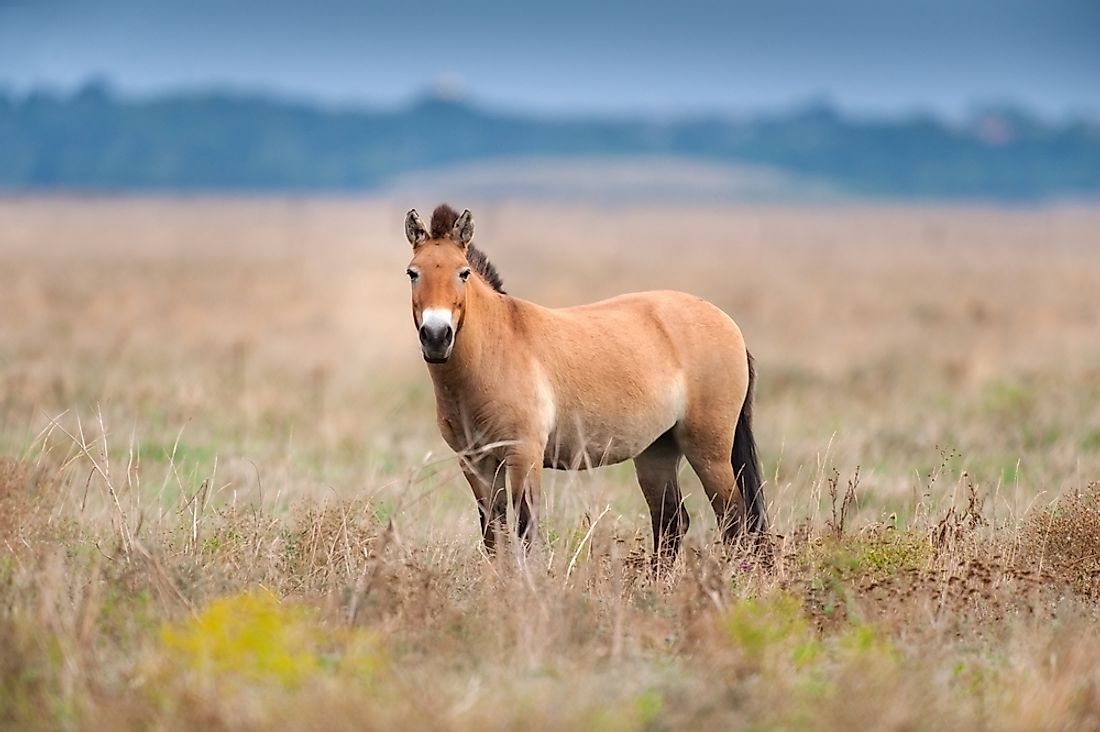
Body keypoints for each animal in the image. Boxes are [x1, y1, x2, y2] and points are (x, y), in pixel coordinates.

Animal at [402, 202, 765, 556]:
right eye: (413, 273)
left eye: (463, 273)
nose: (436, 336)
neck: (495, 351)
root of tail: (728, 323)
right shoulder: (476, 463)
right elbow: (494, 536)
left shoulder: (524, 455)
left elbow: (525, 531)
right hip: (657, 449)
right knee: (671, 522)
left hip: (708, 451)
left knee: (735, 520)